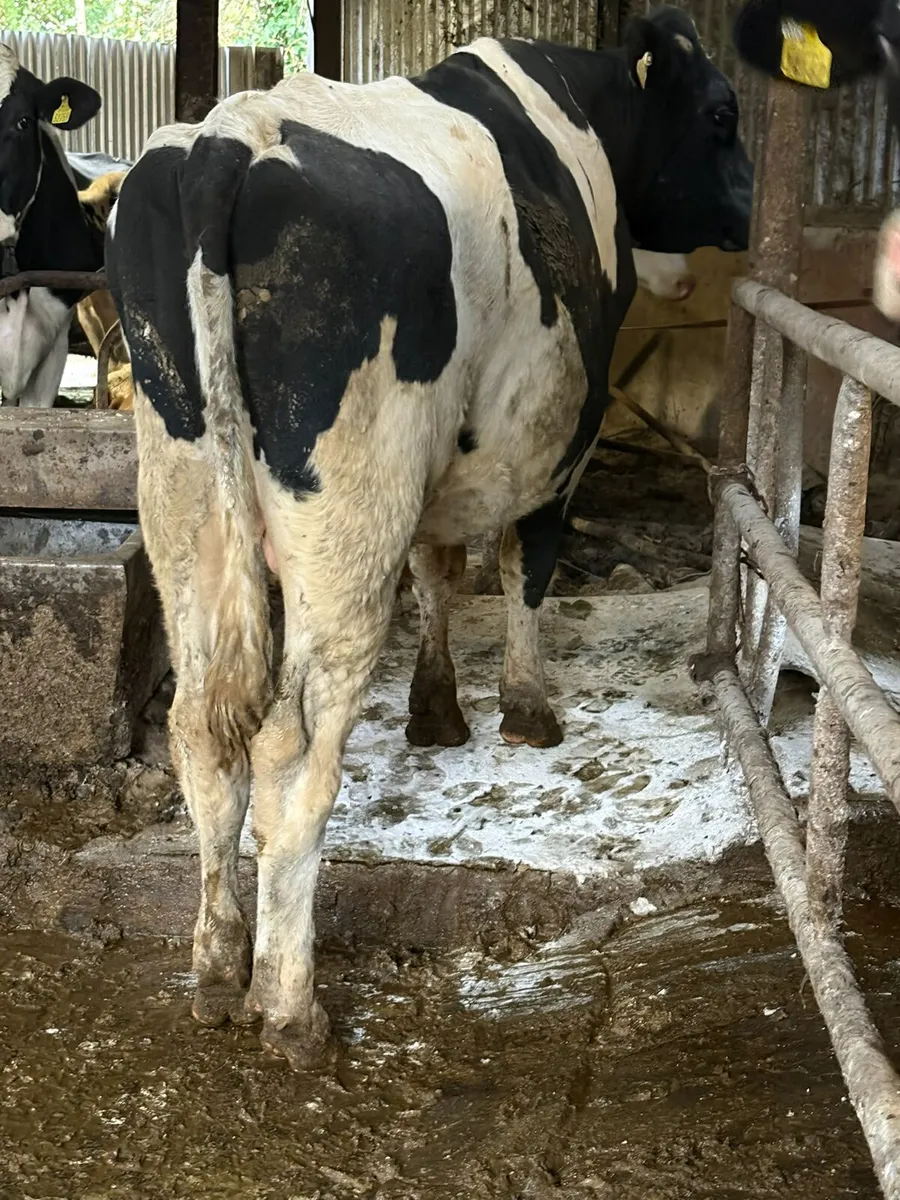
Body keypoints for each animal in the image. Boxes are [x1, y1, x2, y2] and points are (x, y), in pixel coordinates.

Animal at [106, 5, 753, 1067]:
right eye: (720, 113)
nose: (747, 211)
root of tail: (227, 138)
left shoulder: (436, 464)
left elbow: (437, 570)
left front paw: (437, 709)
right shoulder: (560, 440)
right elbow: (523, 565)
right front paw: (526, 709)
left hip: (185, 499)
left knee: (203, 731)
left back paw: (216, 971)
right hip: (347, 509)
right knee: (290, 748)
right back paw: (289, 1004)